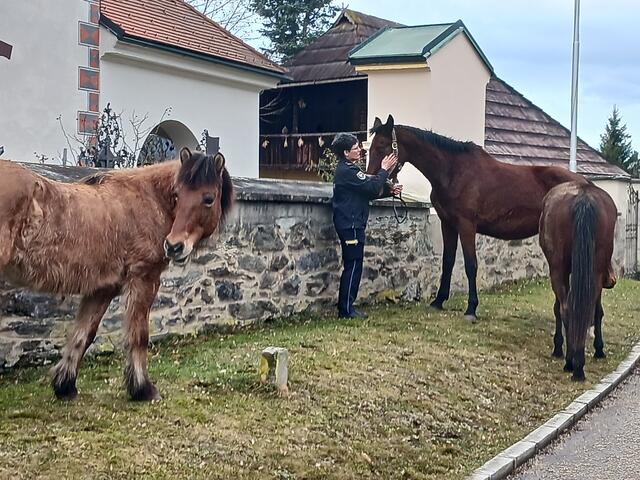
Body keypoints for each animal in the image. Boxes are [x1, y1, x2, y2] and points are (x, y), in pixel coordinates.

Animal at [0, 148, 233, 401]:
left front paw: (65, 385)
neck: (149, 199)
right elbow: (138, 335)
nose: (173, 246)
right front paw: (143, 389)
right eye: (177, 194)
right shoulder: (144, 278)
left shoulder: (102, 289)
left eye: (208, 198)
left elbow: (83, 335)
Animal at [367, 114, 588, 322]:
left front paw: (471, 308)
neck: (453, 172)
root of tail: (585, 184)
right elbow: (447, 261)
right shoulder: (448, 224)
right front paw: (439, 300)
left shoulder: (466, 225)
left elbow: (470, 265)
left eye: (382, 145)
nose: (371, 179)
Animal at [539, 181, 617, 381]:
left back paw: (572, 362)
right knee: (582, 309)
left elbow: (558, 308)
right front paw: (599, 349)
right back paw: (577, 363)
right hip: (593, 271)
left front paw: (558, 347)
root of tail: (584, 197)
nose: (611, 279)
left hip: (560, 269)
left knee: (567, 309)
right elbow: (597, 311)